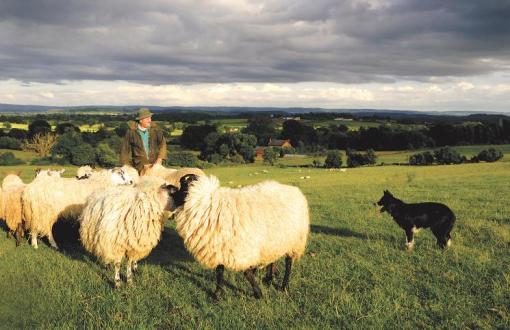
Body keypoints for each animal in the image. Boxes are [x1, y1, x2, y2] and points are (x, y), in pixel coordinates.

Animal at [169, 175, 308, 300]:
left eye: (182, 185)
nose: (171, 196)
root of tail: (294, 189)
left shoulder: (242, 249)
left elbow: (246, 273)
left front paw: (258, 293)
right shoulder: (220, 247)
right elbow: (219, 271)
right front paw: (217, 294)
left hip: (295, 241)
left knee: (288, 263)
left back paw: (284, 287)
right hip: (274, 240)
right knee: (272, 258)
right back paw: (269, 278)